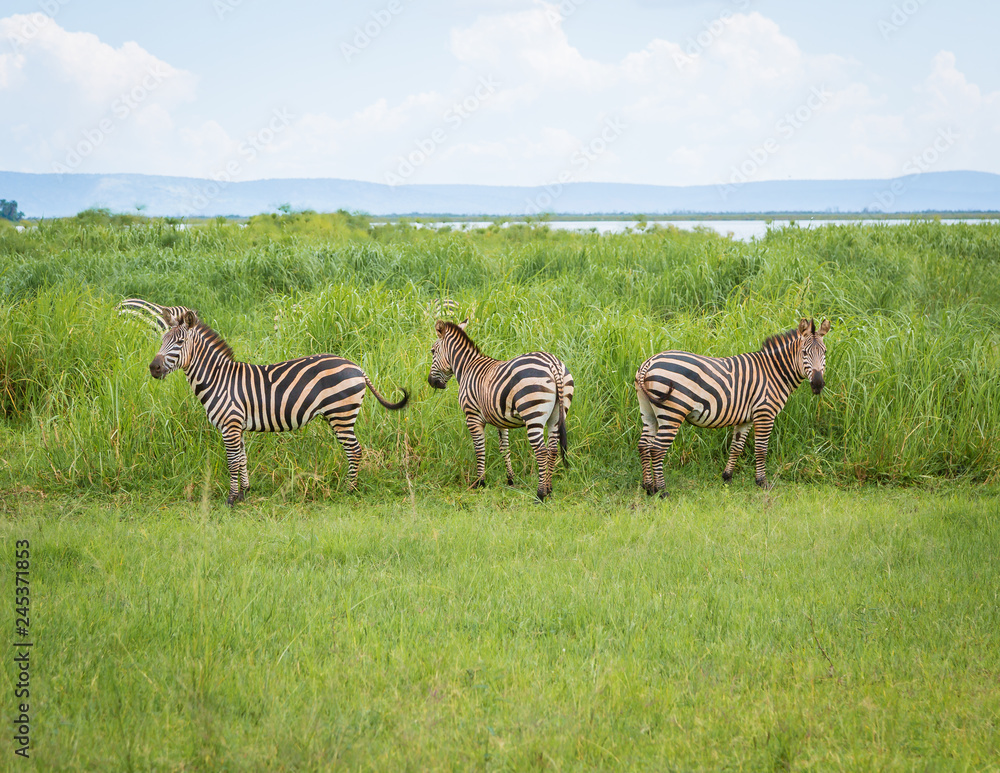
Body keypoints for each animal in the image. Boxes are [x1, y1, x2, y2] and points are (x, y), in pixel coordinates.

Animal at [118, 299, 409, 505]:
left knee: (354, 450)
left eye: (178, 342)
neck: (217, 378)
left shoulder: (230, 425)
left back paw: (350, 489)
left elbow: (232, 461)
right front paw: (245, 492)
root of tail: (357, 367)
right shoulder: (238, 426)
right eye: (162, 340)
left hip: (342, 414)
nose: (153, 368)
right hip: (340, 414)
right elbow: (242, 458)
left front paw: (231, 499)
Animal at [428, 320, 574, 501]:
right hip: (557, 414)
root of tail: (552, 363)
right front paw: (510, 479)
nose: (431, 382)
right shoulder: (500, 418)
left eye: (433, 351)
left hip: (533, 413)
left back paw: (540, 494)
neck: (467, 367)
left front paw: (480, 482)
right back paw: (549, 489)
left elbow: (479, 447)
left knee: (541, 450)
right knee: (552, 449)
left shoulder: (472, 416)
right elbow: (504, 448)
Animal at [635, 317, 831, 496]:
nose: (818, 384)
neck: (775, 371)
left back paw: (648, 487)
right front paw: (762, 482)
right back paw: (662, 490)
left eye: (825, 352)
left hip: (648, 412)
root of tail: (649, 363)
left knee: (644, 445)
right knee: (657, 449)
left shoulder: (746, 418)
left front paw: (727, 477)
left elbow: (736, 446)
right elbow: (761, 449)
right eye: (804, 352)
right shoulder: (765, 413)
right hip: (672, 412)